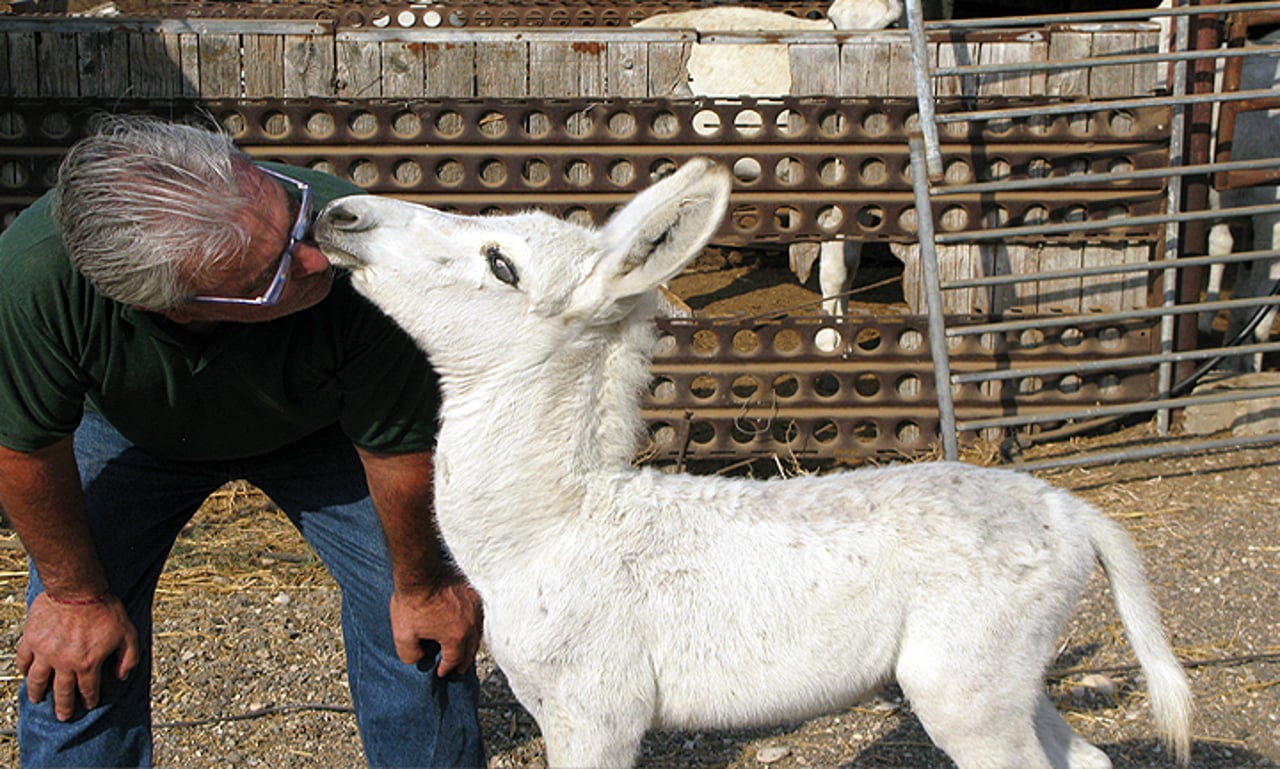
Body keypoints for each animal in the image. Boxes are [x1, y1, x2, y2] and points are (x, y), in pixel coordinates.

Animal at [314, 157, 1192, 767]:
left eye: (502, 264)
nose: (340, 213)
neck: (548, 531)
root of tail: (1069, 510)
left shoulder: (595, 708)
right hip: (1005, 675)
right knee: (1086, 757)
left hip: (967, 683)